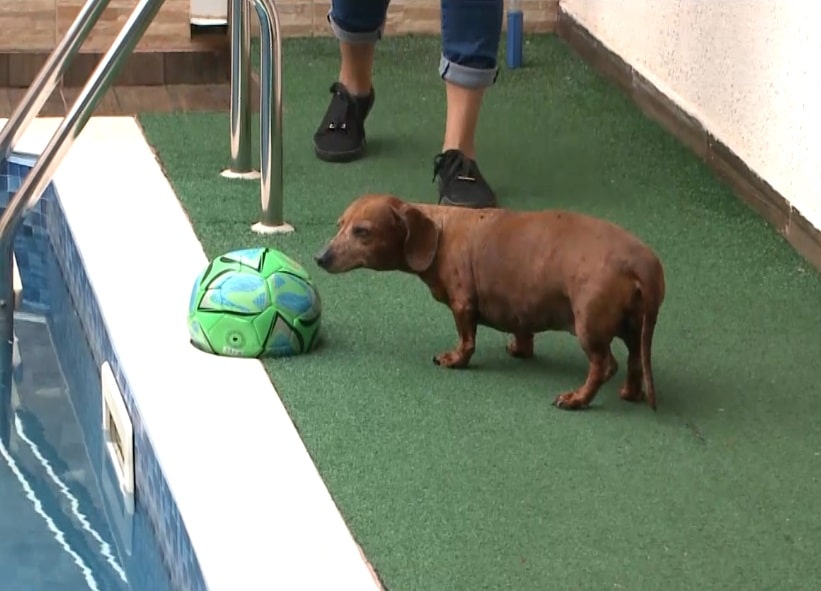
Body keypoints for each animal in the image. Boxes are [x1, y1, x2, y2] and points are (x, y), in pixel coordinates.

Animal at [314, 194, 668, 412]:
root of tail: (644, 263)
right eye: (340, 225)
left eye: (362, 231)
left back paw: (576, 399)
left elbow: (466, 340)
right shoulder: (521, 305)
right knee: (635, 360)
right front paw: (519, 349)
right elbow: (523, 332)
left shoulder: (463, 305)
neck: (441, 232)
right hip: (634, 326)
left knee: (605, 365)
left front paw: (454, 359)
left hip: (589, 326)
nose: (320, 258)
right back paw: (630, 392)